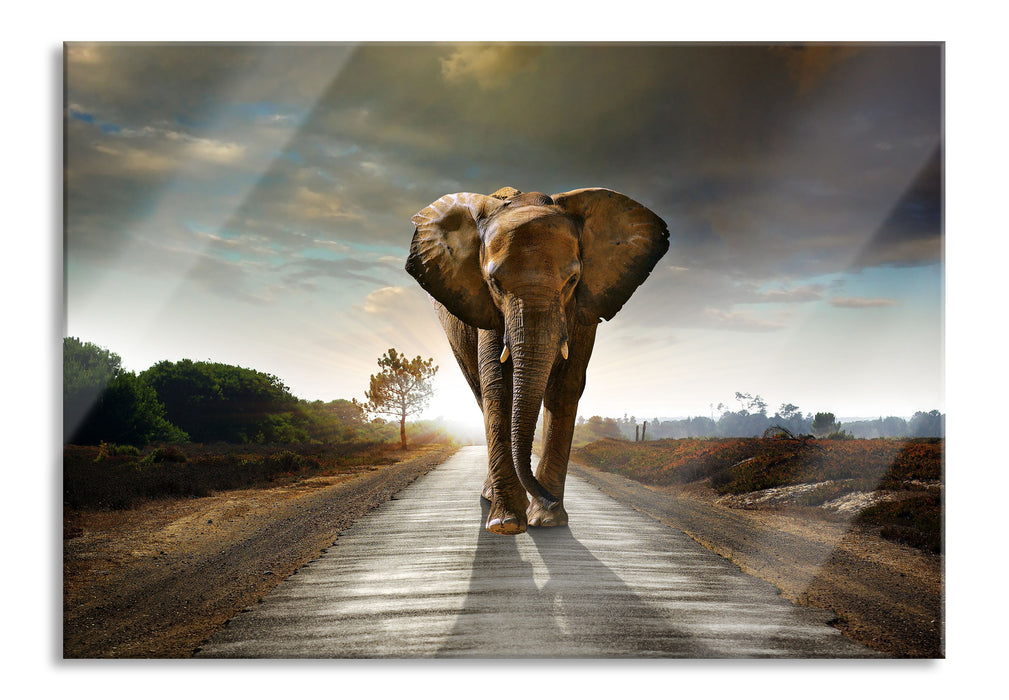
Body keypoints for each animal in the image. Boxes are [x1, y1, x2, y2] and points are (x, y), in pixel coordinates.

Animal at [405, 186, 669, 535]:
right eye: (495, 283)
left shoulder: (584, 306)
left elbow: (565, 386)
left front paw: (548, 520)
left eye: (572, 280)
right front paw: (507, 524)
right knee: (480, 391)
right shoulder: (487, 308)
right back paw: (492, 498)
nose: (549, 499)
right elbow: (499, 387)